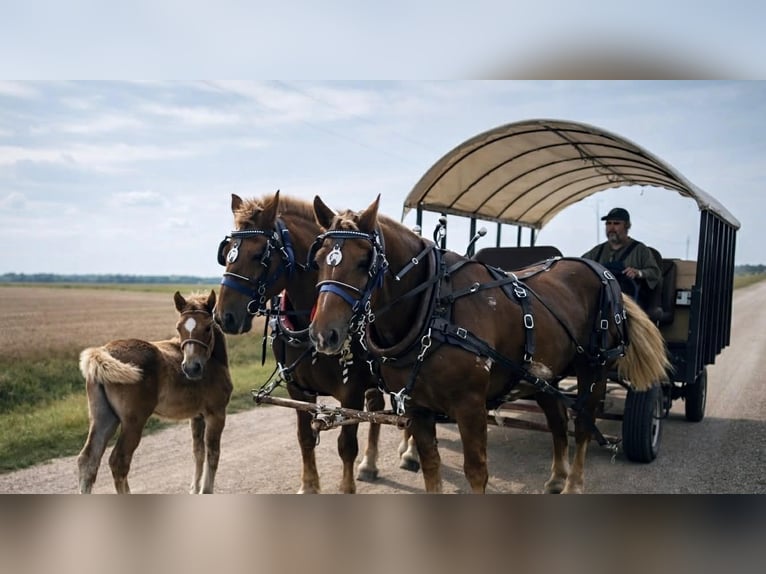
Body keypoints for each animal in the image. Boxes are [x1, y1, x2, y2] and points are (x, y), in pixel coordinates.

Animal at [77, 290, 232, 494]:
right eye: (179, 327)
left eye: (207, 328)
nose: (191, 368)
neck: (213, 361)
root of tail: (103, 352)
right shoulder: (216, 413)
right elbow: (213, 453)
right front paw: (205, 490)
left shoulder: (197, 416)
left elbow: (198, 453)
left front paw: (194, 489)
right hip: (133, 421)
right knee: (119, 462)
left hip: (104, 418)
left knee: (88, 461)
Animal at [214, 191, 417, 494]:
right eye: (226, 252)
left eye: (259, 254)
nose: (223, 316)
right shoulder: (299, 390)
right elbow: (305, 438)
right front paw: (309, 485)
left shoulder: (351, 392)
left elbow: (346, 445)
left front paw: (346, 487)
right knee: (378, 407)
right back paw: (372, 463)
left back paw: (409, 452)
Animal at [307, 195, 671, 494]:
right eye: (320, 259)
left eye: (364, 262)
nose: (324, 334)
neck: (434, 304)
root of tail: (599, 269)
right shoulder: (417, 408)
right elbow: (432, 467)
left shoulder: (470, 406)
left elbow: (476, 472)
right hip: (543, 376)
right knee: (557, 419)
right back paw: (556, 478)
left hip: (594, 366)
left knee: (582, 424)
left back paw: (573, 485)